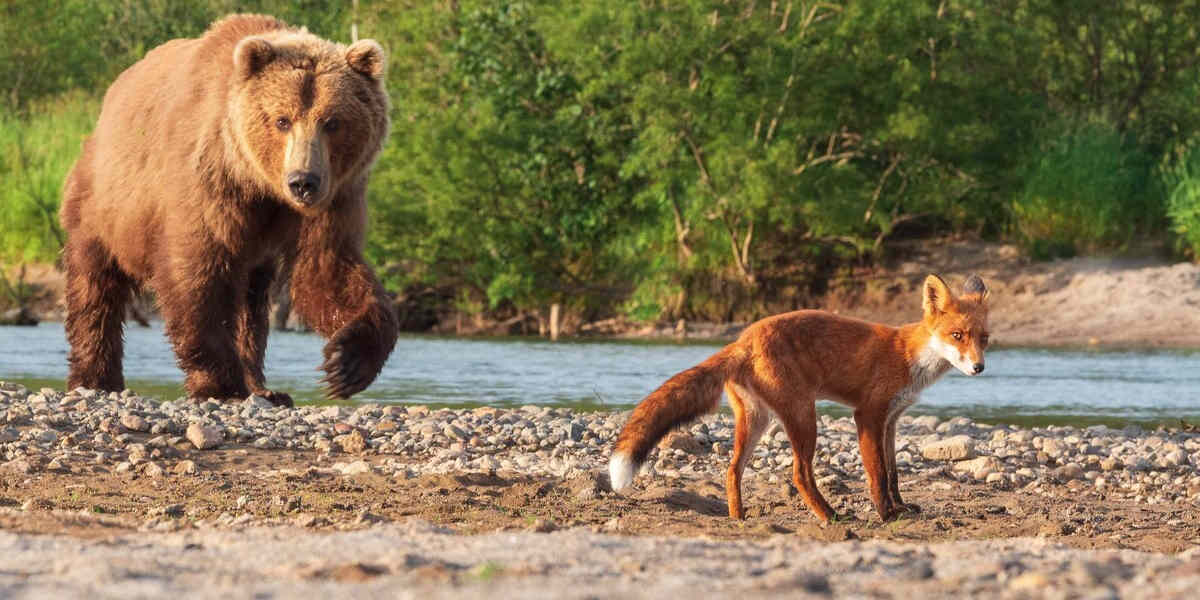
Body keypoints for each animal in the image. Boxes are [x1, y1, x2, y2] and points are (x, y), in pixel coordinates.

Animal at [59, 15, 398, 408]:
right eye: (282, 120)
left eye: (332, 121)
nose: (303, 181)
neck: (261, 184)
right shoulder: (210, 183)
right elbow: (198, 274)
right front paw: (221, 384)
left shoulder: (333, 196)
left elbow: (327, 268)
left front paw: (346, 362)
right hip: (105, 202)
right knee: (95, 286)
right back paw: (96, 378)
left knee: (251, 305)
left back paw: (265, 388)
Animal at [614, 274, 988, 523]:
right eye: (957, 335)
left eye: (984, 338)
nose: (979, 367)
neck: (910, 356)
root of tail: (742, 339)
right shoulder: (868, 414)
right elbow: (877, 473)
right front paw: (886, 514)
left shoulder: (892, 419)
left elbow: (893, 472)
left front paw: (900, 507)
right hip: (804, 416)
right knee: (799, 473)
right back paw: (830, 516)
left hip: (757, 420)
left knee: (732, 469)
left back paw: (739, 518)